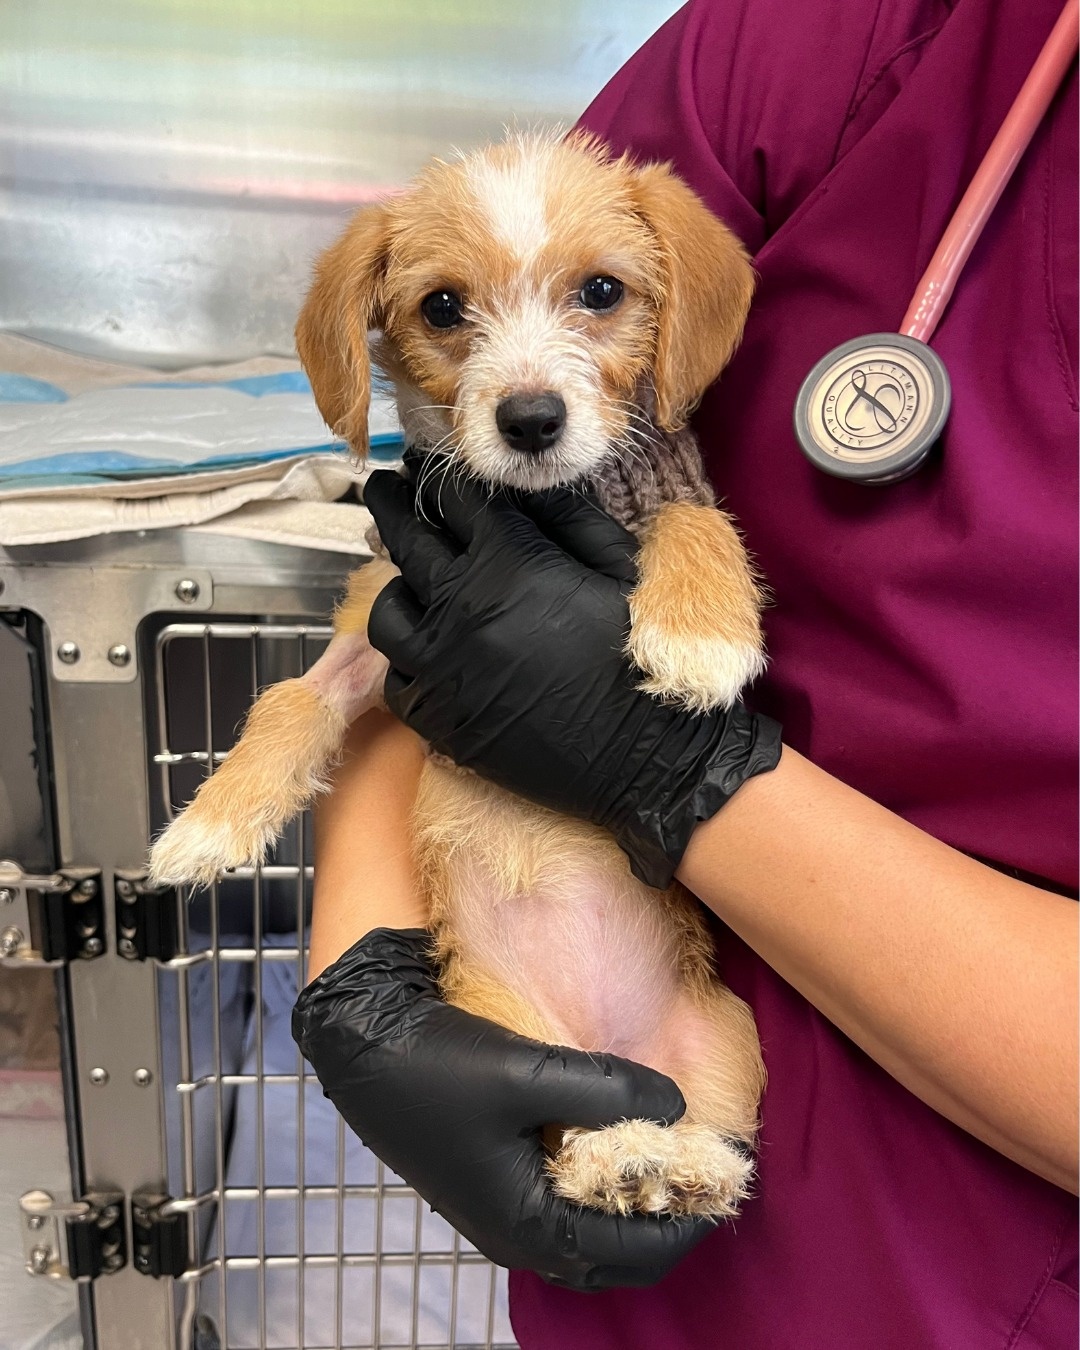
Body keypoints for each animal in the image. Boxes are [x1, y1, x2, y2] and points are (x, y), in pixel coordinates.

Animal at [149, 131, 766, 1220]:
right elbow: (291, 699)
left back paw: (670, 1167)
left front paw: (698, 640)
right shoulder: (386, 627)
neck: (535, 509)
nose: (531, 419)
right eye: (442, 307)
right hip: (513, 1032)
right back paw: (620, 1162)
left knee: (716, 1149)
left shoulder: (668, 497)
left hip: (730, 1049)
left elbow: (697, 523)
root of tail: (611, 1048)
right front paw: (208, 828)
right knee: (573, 1130)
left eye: (601, 291)